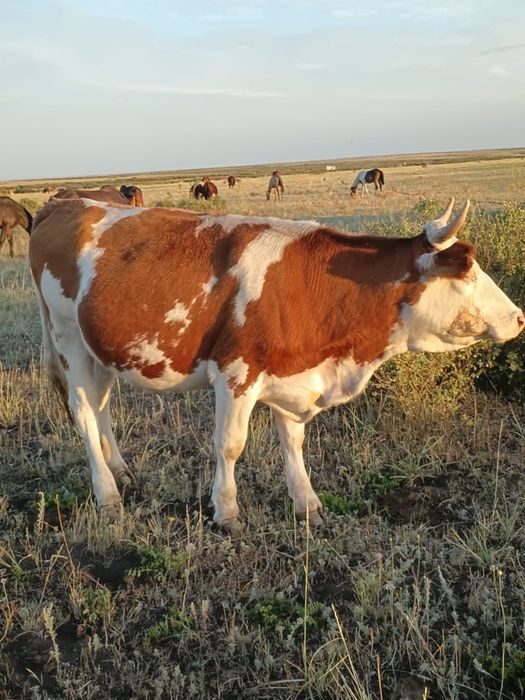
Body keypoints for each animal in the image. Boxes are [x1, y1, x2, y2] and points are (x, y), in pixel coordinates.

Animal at [29, 197, 524, 532]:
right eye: (467, 271)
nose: (519, 317)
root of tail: (65, 202)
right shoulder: (236, 373)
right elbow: (230, 445)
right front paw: (226, 511)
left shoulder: (293, 375)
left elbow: (293, 440)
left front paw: (306, 502)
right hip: (67, 338)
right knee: (83, 412)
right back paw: (107, 494)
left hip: (100, 348)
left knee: (102, 406)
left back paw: (122, 472)